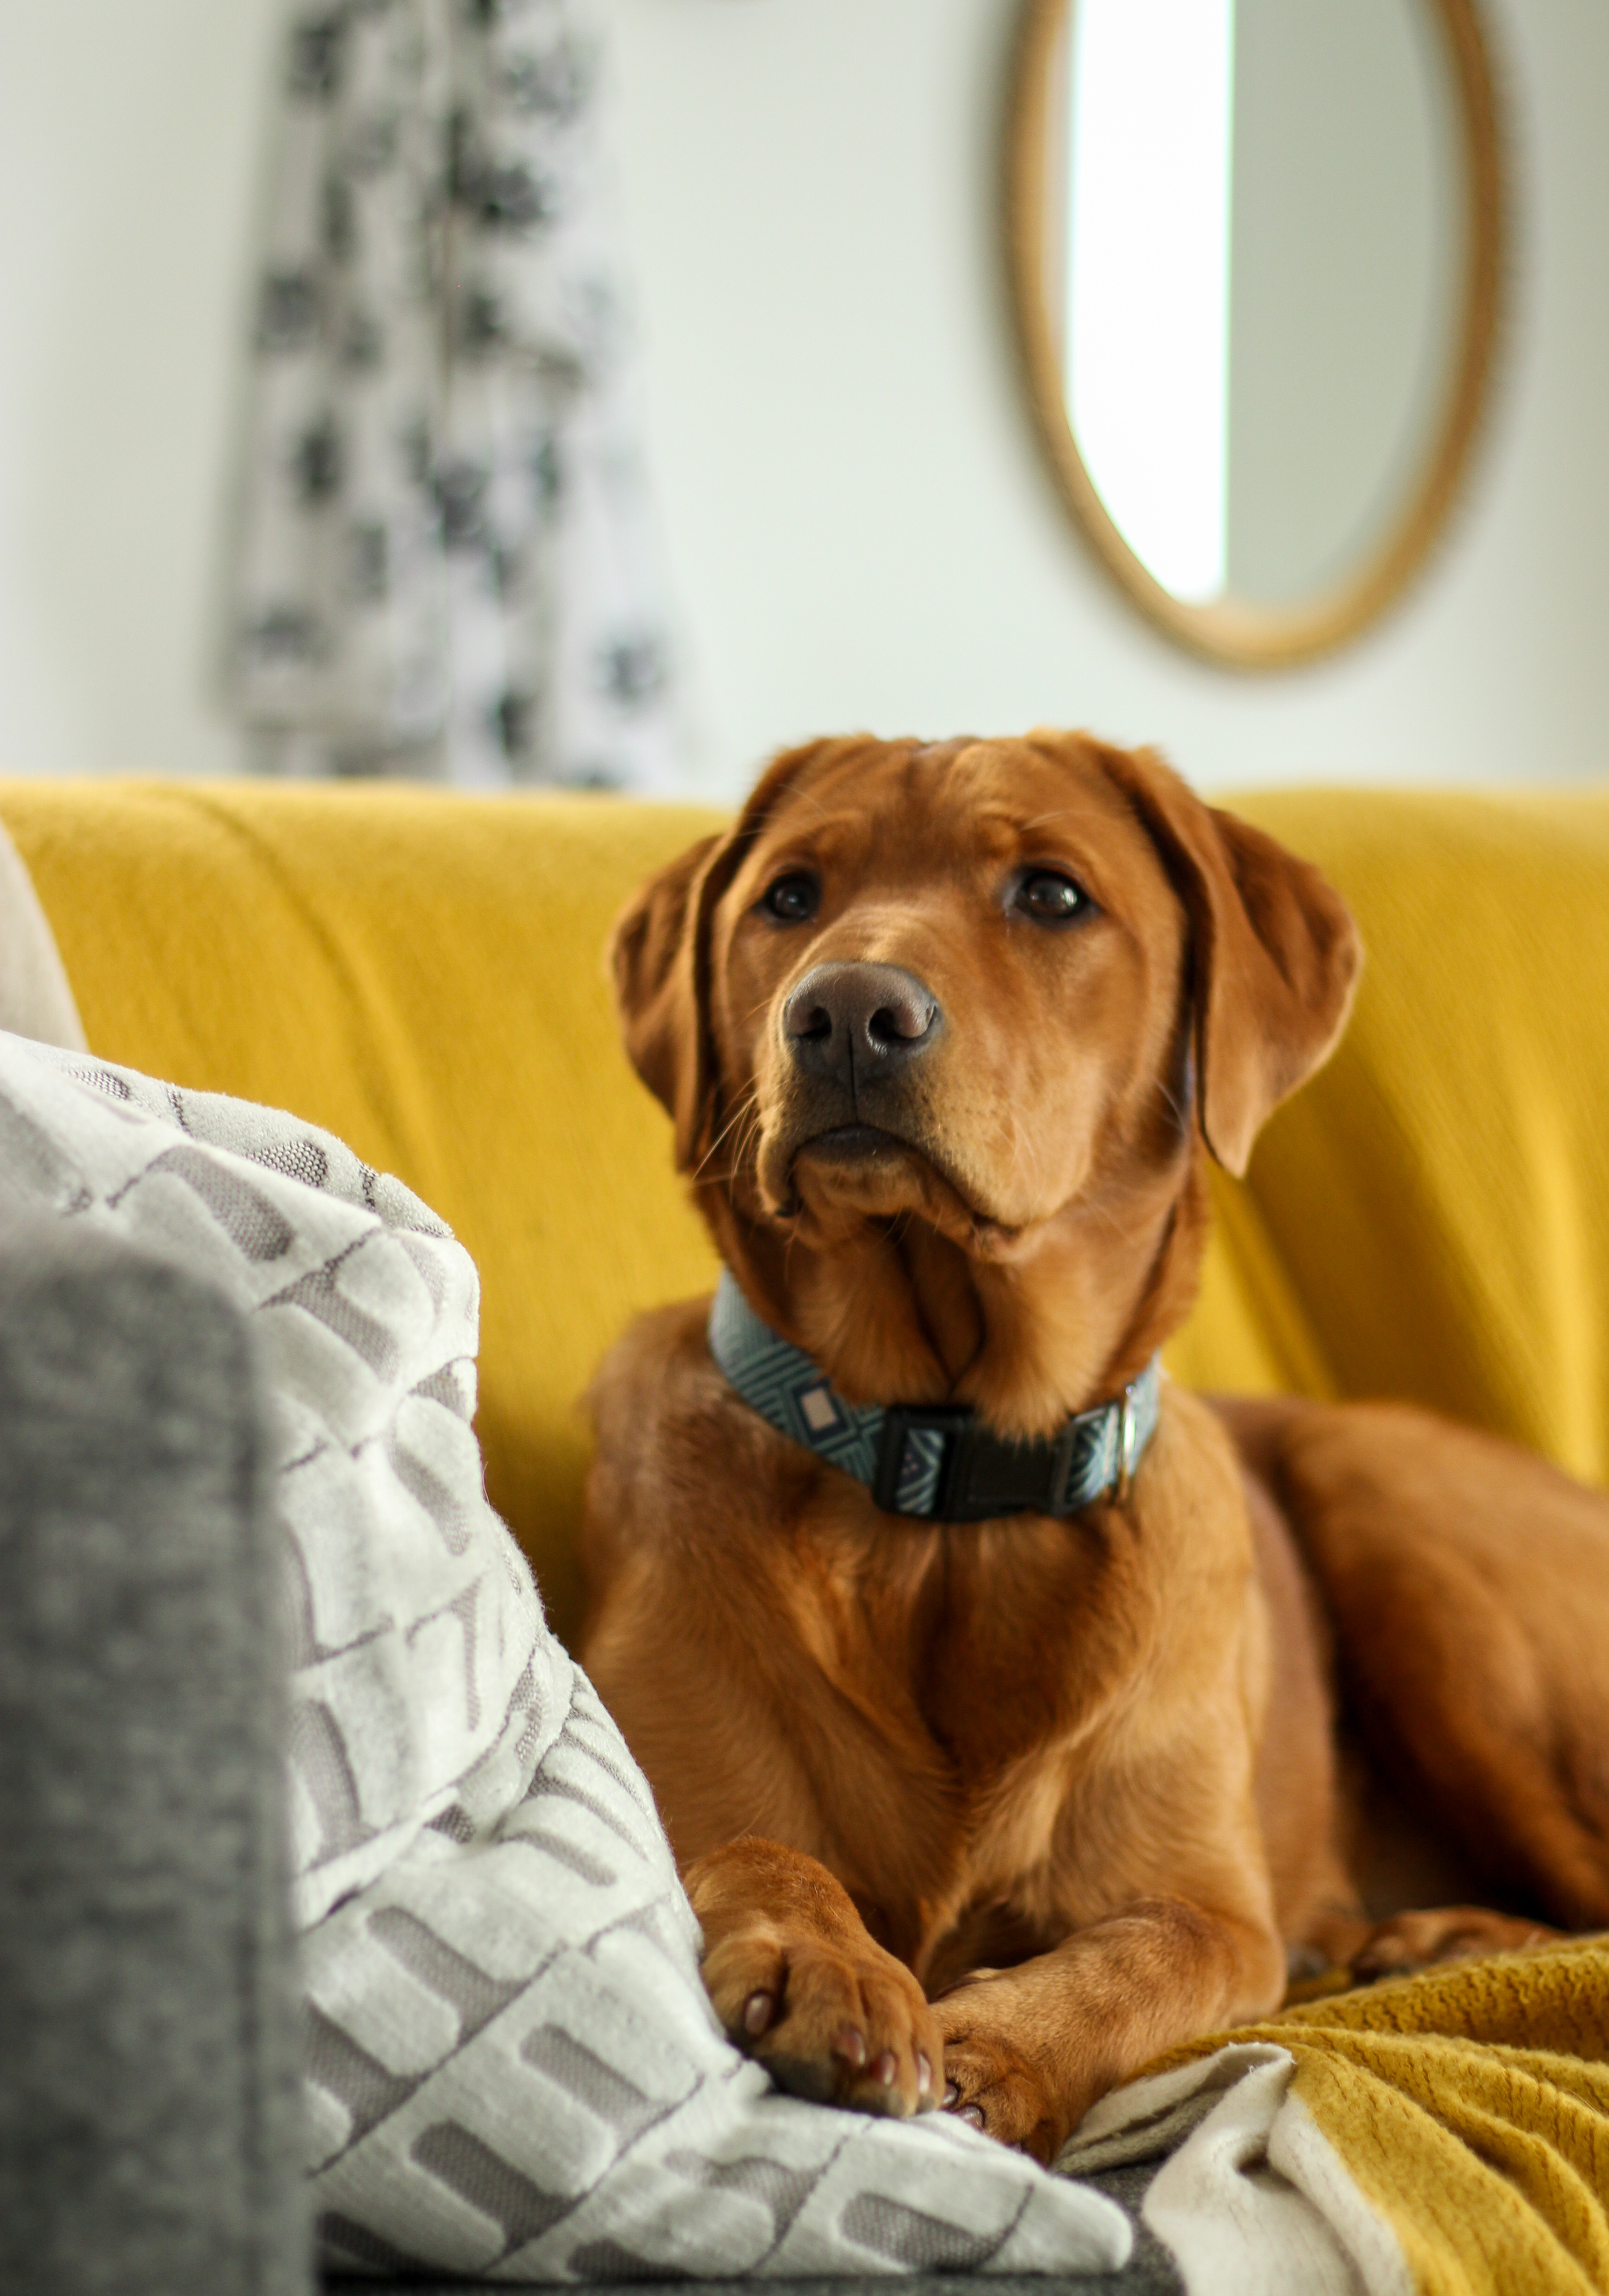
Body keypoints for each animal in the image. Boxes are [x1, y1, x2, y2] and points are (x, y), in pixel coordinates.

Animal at [579, 730, 1609, 2164]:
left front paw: (996, 2042)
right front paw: (829, 1960)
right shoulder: (676, 1773)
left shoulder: (1211, 1908)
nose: (845, 1011)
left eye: (1052, 895)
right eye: (788, 897)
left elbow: (1141, 1961)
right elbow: (752, 1846)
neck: (950, 1485)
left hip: (1396, 1518)